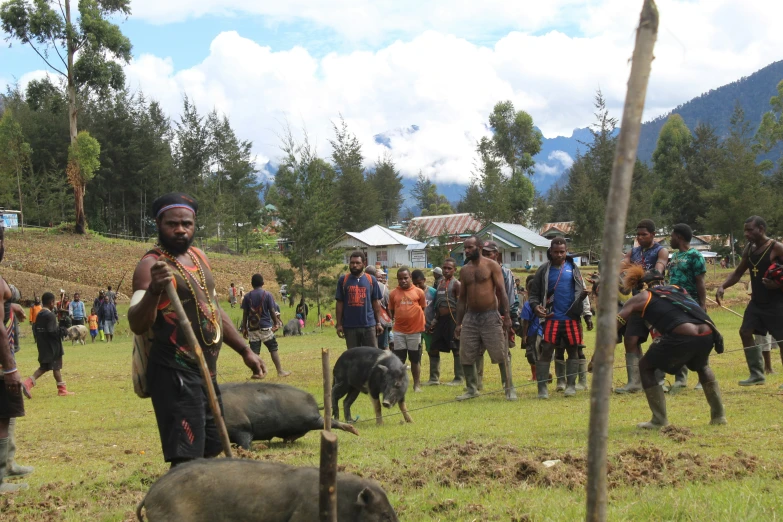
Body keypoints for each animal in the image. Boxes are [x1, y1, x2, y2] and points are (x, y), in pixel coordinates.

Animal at [222, 378, 360, 446]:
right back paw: (287, 440)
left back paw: (355, 431)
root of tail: (313, 401)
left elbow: (245, 443)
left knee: (329, 422)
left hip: (312, 419)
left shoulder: (242, 428)